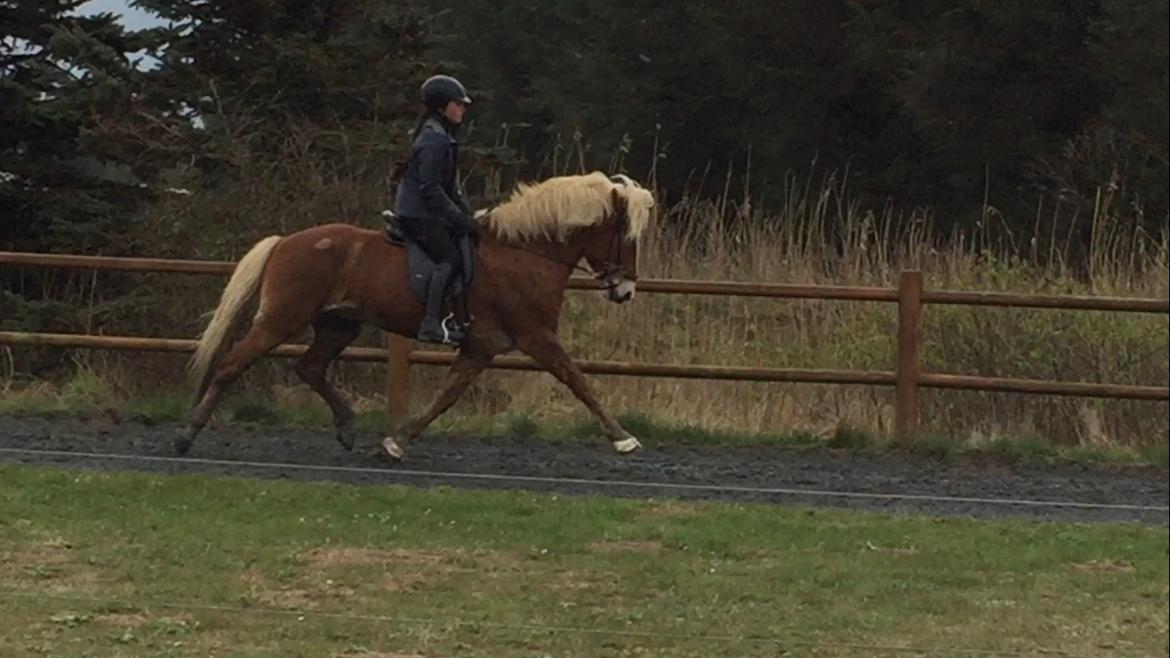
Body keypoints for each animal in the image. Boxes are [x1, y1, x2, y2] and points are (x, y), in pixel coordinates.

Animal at [176, 168, 655, 458]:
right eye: (626, 236)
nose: (626, 290)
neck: (524, 252)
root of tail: (284, 242)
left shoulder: (482, 347)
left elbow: (448, 395)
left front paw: (397, 440)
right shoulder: (536, 336)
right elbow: (578, 380)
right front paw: (624, 438)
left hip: (338, 325)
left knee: (310, 368)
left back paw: (347, 428)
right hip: (282, 318)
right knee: (234, 363)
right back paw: (187, 435)